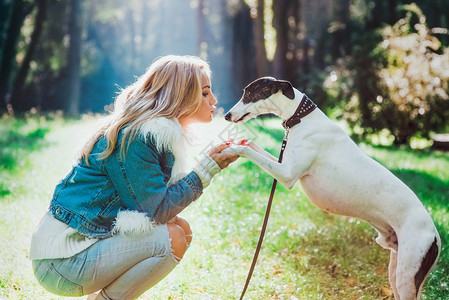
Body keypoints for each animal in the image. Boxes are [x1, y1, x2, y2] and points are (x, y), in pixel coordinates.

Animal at [222, 77, 440, 300]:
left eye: (250, 94)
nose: (226, 116)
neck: (301, 118)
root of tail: (435, 237)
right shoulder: (284, 164)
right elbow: (253, 145)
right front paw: (238, 141)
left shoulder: (287, 174)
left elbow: (248, 150)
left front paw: (233, 147)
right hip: (396, 271)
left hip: (407, 276)